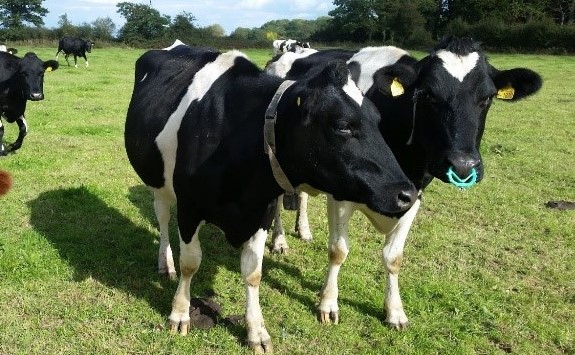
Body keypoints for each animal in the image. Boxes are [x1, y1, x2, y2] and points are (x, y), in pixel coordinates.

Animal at [125, 39, 418, 354]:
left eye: (378, 119)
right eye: (342, 125)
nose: (407, 194)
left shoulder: (261, 210)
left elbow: (253, 272)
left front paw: (256, 331)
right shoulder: (190, 207)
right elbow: (190, 262)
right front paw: (179, 313)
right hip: (158, 182)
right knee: (163, 218)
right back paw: (164, 263)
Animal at [266, 37, 544, 330]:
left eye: (487, 97)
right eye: (428, 94)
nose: (463, 166)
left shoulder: (413, 194)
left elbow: (393, 257)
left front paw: (395, 311)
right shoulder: (341, 194)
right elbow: (338, 251)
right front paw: (328, 305)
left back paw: (304, 230)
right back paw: (280, 240)